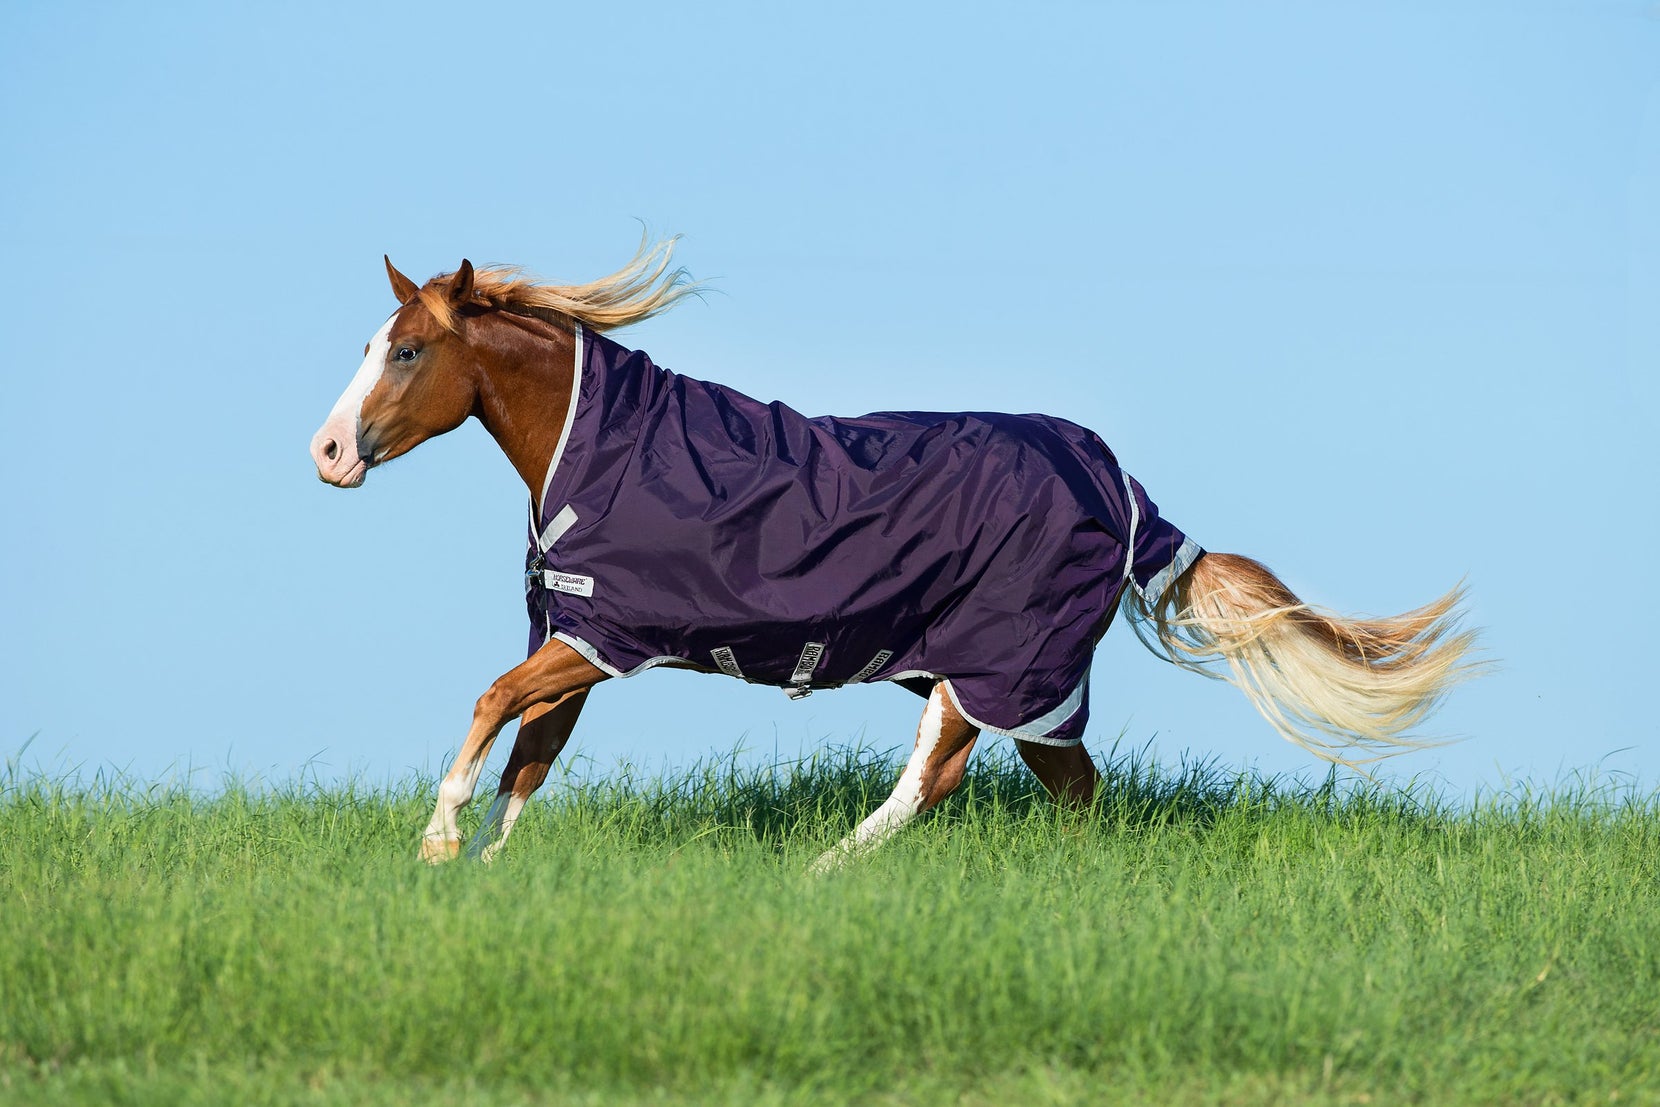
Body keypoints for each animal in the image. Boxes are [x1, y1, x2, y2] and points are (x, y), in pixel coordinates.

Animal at [309, 238, 1477, 867]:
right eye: (371, 343)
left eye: (407, 351)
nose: (326, 453)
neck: (598, 448)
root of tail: (1127, 494)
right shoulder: (584, 642)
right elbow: (530, 754)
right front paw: (486, 869)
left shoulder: (609, 633)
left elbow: (491, 703)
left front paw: (438, 840)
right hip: (1019, 679)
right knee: (1074, 785)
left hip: (994, 660)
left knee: (937, 776)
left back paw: (820, 874)